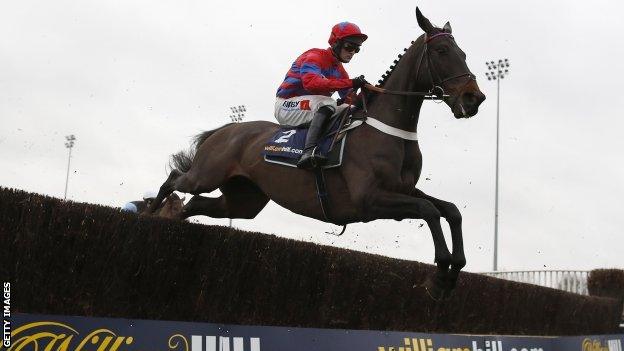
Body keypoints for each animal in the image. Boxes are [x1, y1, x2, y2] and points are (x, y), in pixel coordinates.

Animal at [149, 7, 486, 300]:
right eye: (442, 52)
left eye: (463, 54)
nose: (474, 98)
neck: (386, 129)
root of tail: (227, 129)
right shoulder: (369, 199)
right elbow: (429, 211)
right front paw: (439, 277)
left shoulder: (403, 189)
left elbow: (450, 210)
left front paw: (453, 273)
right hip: (206, 174)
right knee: (176, 178)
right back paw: (152, 213)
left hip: (244, 200)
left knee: (195, 204)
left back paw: (171, 217)